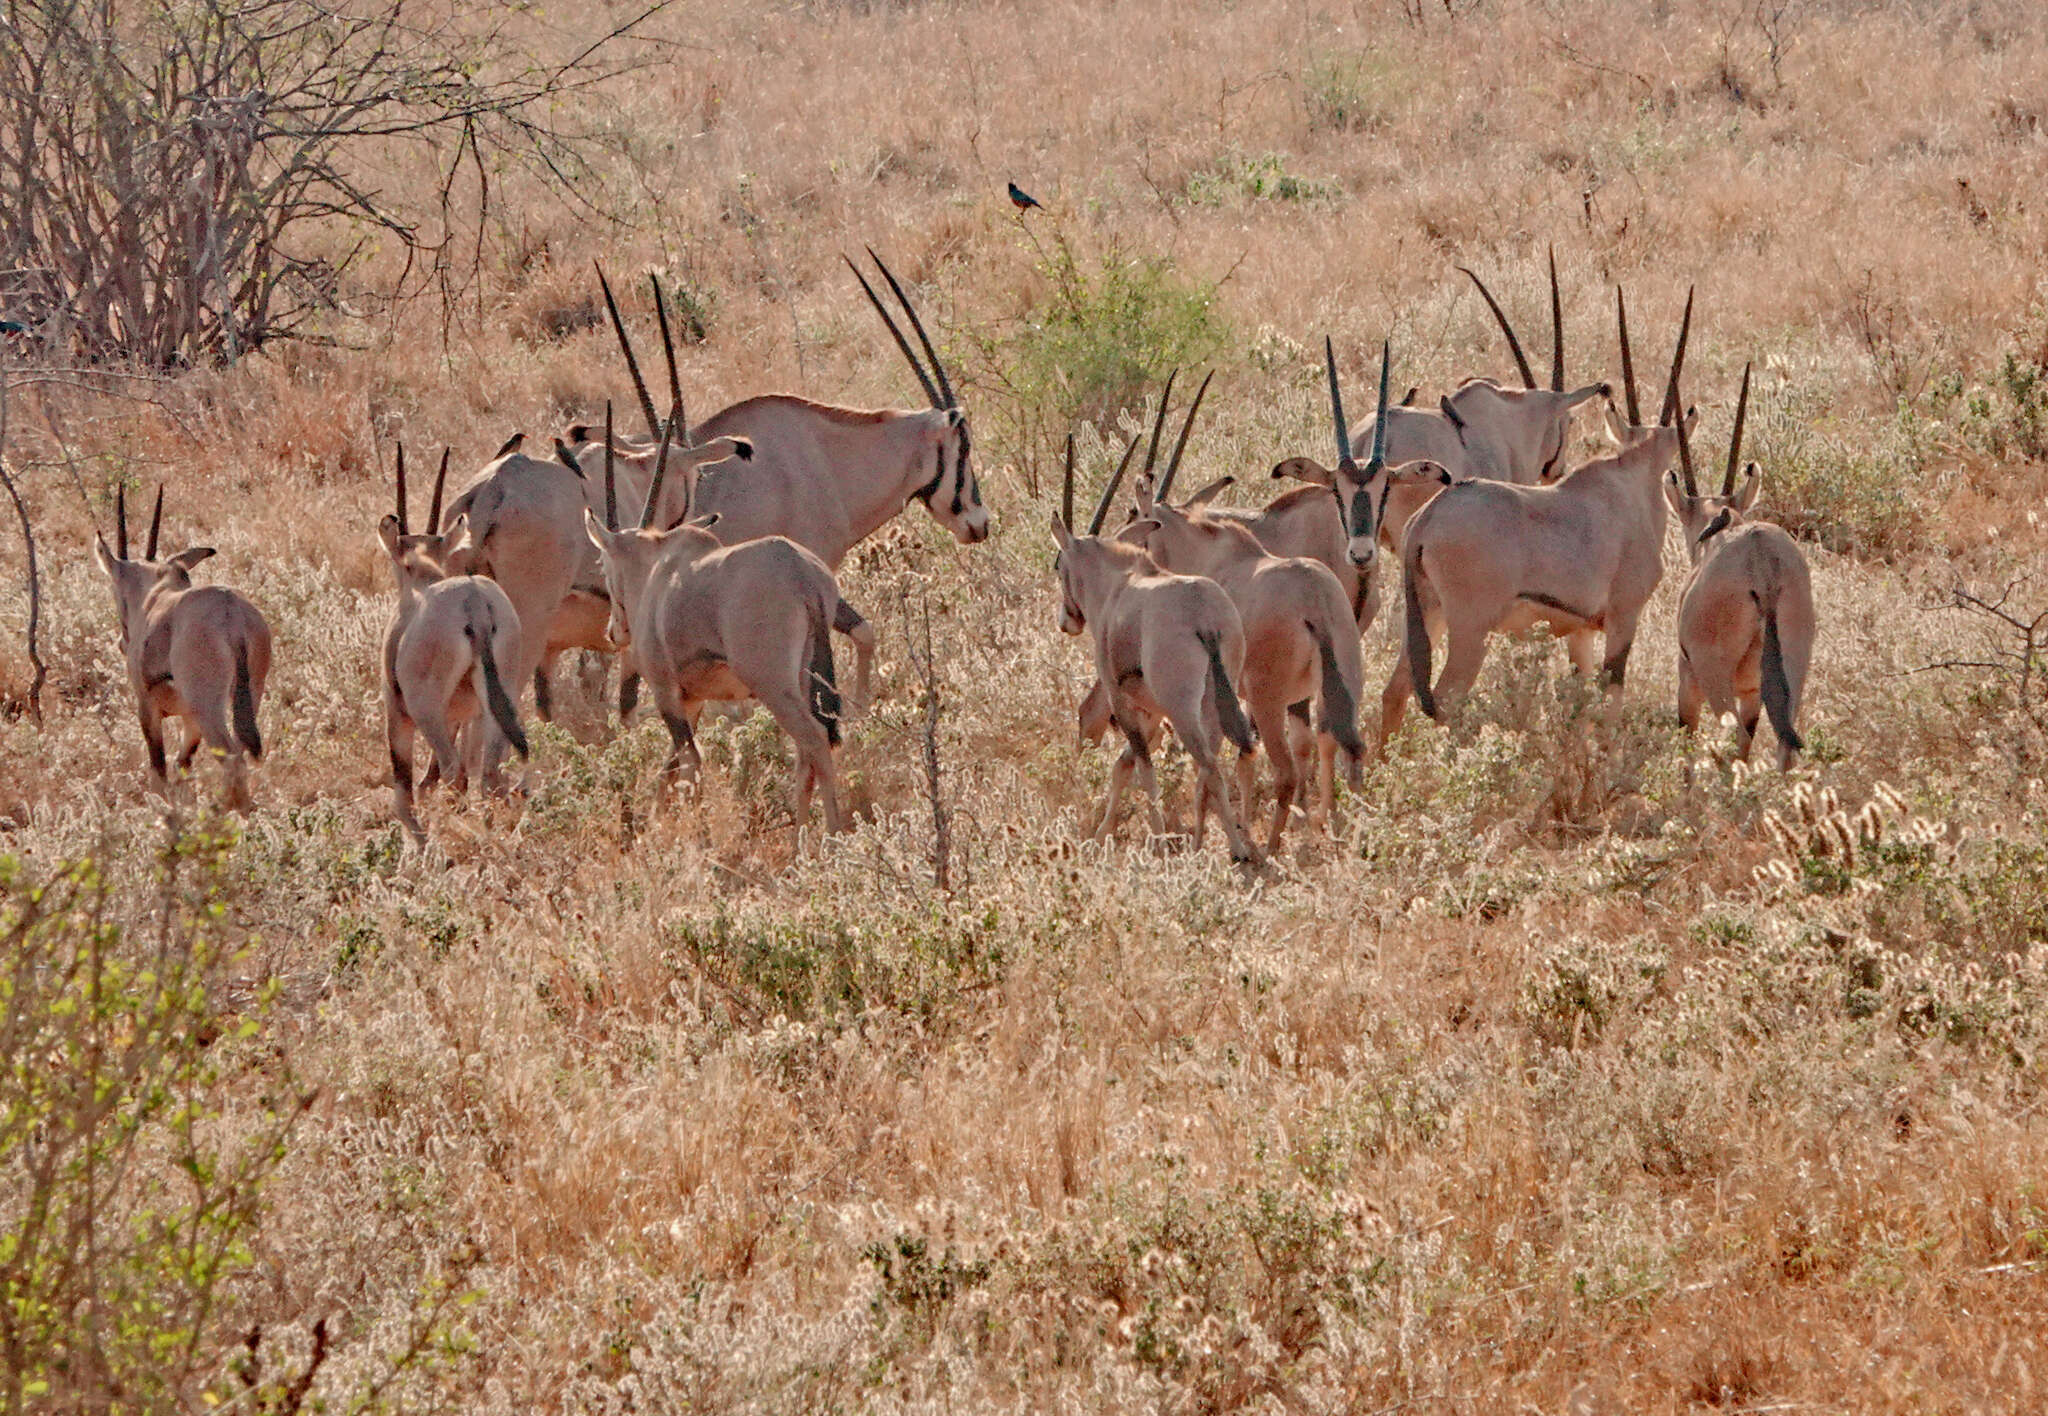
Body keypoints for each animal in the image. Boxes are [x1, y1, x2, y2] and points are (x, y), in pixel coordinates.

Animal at [96, 487, 274, 807]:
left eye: (117, 594)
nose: (122, 642)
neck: (155, 596)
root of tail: (231, 613)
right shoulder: (190, 721)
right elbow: (183, 765)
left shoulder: (147, 706)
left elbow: (159, 768)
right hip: (247, 695)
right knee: (240, 749)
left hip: (207, 706)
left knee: (233, 758)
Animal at [378, 448, 532, 840]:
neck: (424, 579)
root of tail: (473, 602)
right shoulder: (462, 716)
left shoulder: (399, 713)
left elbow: (405, 792)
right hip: (499, 701)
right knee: (488, 774)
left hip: (427, 710)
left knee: (453, 772)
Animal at [1671, 360, 1818, 770]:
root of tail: (1762, 564)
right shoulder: (1752, 690)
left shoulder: (1688, 677)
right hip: (1794, 669)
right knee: (1784, 747)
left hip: (1714, 676)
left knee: (1724, 742)